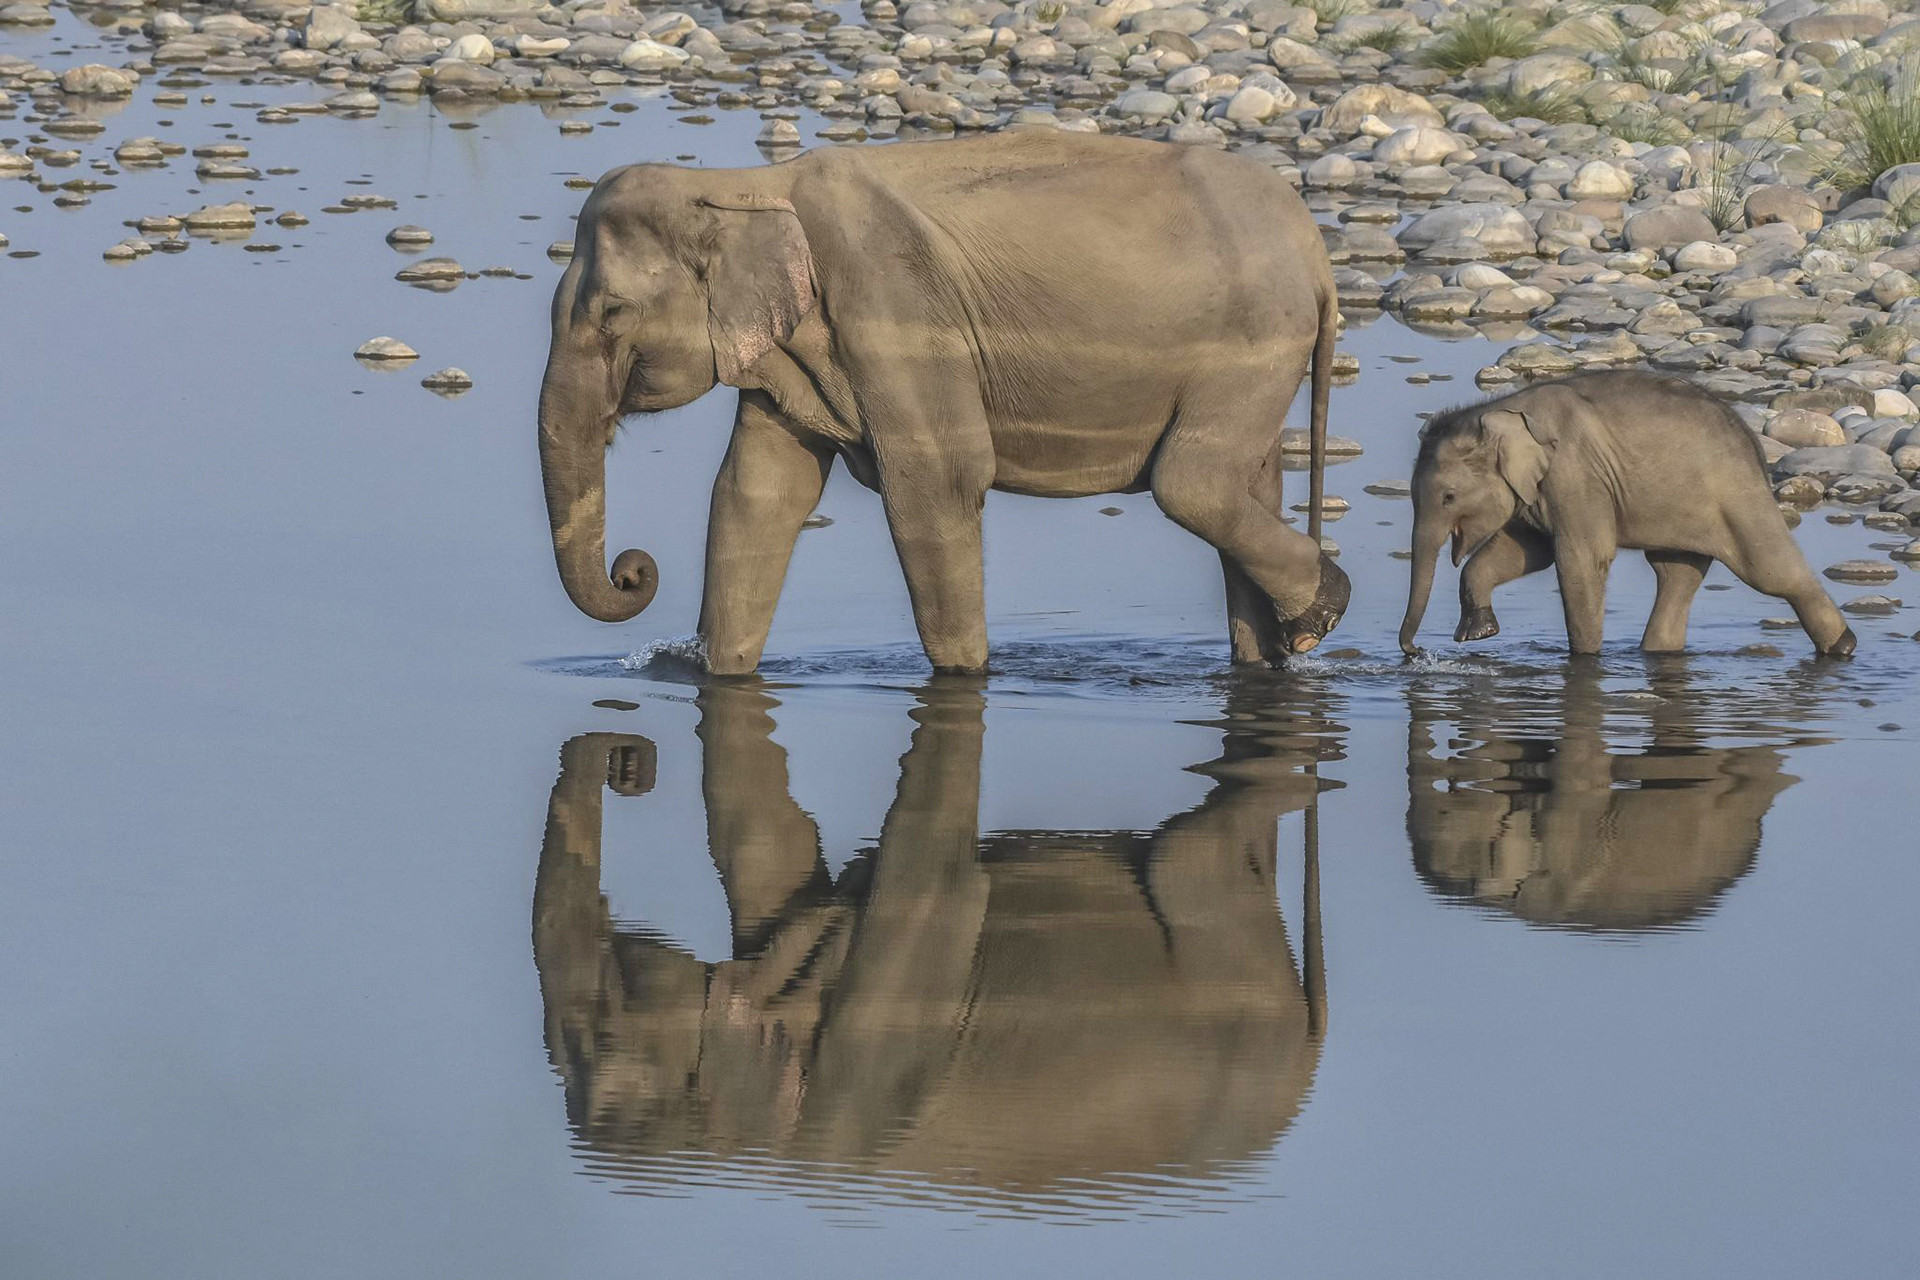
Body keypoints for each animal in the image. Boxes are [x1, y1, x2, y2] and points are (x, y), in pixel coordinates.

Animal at [529, 680, 1339, 1212]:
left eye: (608, 1023)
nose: (627, 760)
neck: (753, 1154)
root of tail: (1309, 1053)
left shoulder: (880, 1036)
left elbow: (932, 880)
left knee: (1189, 850)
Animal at [536, 129, 1350, 676]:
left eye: (611, 314)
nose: (634, 570)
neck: (745, 182)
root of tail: (1316, 256)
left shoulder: (896, 313)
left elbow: (937, 483)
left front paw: (966, 677)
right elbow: (756, 493)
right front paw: (714, 675)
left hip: (1250, 346)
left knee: (1192, 482)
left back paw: (1321, 611)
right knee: (1247, 486)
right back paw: (1277, 651)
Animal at [1396, 370, 1856, 658]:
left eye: (1449, 497)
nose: (1415, 652)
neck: (1501, 409)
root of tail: (1755, 447)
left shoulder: (1576, 474)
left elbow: (1581, 558)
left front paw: (1584, 659)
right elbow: (1526, 552)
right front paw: (1479, 633)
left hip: (1736, 496)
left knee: (1770, 570)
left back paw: (1843, 647)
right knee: (1676, 574)